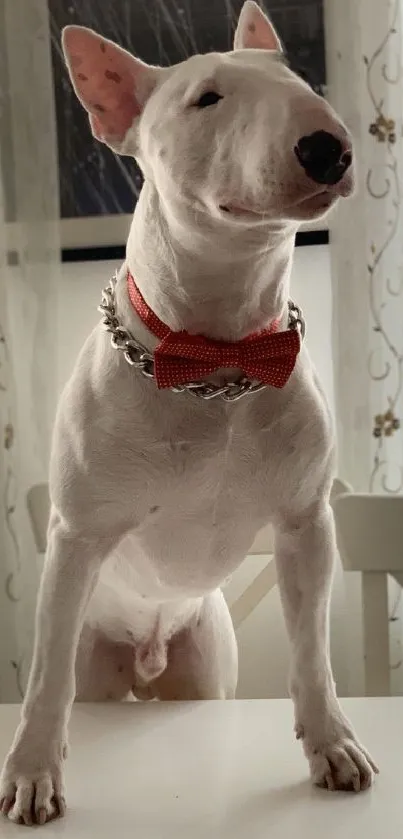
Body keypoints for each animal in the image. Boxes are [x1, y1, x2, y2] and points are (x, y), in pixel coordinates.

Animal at [0, 0, 378, 828]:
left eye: (301, 83)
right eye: (207, 98)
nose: (327, 147)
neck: (215, 357)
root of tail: (145, 653)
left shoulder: (305, 525)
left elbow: (311, 654)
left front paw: (331, 745)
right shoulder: (77, 535)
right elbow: (44, 680)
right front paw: (33, 773)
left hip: (205, 659)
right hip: (95, 647)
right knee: (71, 673)